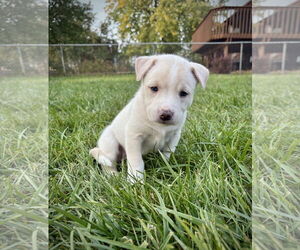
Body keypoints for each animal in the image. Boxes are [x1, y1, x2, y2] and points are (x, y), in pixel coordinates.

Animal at [90, 54, 210, 183]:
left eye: (183, 93)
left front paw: (166, 168)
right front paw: (135, 181)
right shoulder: (134, 136)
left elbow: (167, 153)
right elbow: (136, 161)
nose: (165, 115)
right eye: (154, 88)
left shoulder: (174, 136)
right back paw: (113, 175)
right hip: (109, 143)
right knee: (107, 163)